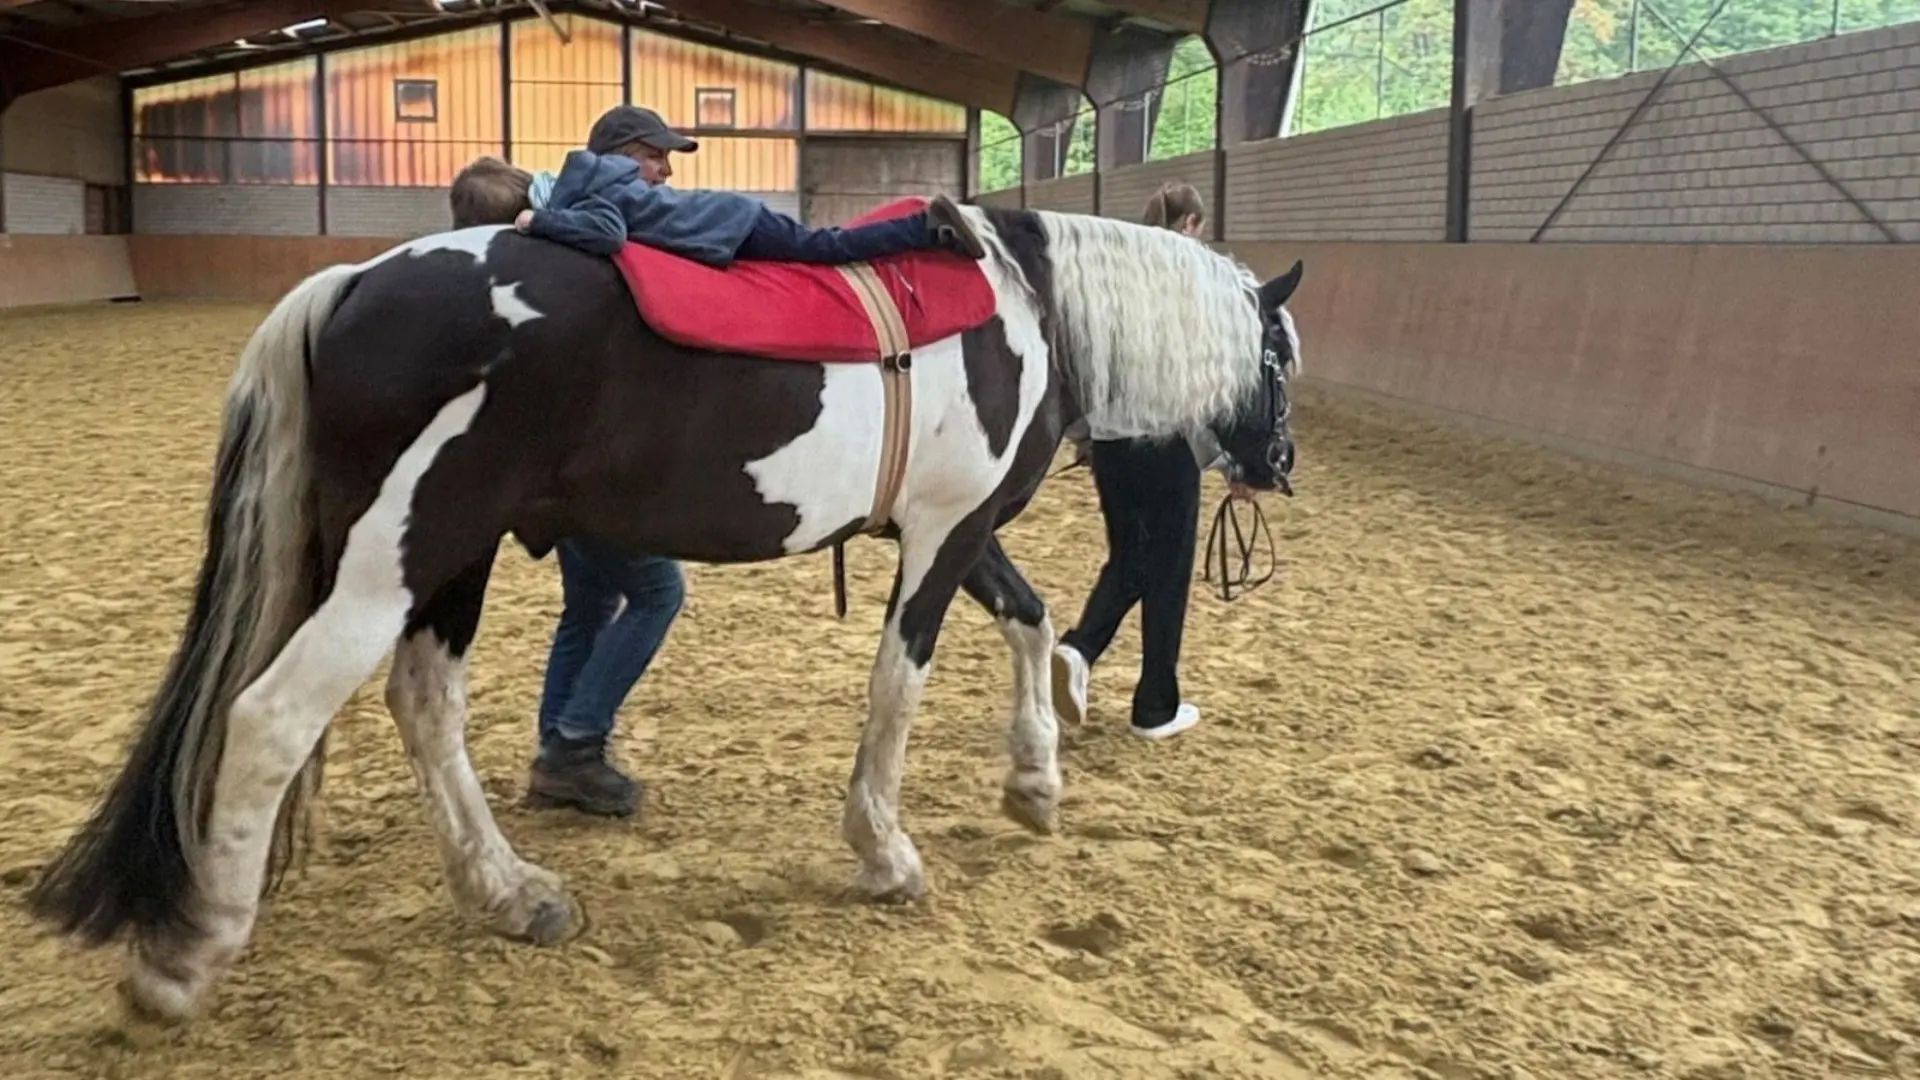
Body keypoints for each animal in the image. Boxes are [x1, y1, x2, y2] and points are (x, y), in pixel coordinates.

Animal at [26, 203, 1305, 1024]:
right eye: (1280, 356)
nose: (1279, 464)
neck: (1021, 312)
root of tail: (350, 284)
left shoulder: (960, 528)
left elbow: (1032, 623)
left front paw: (1036, 780)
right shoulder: (942, 535)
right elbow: (901, 683)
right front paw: (886, 850)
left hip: (445, 559)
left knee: (423, 703)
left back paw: (511, 893)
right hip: (402, 556)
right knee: (274, 717)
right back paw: (188, 959)